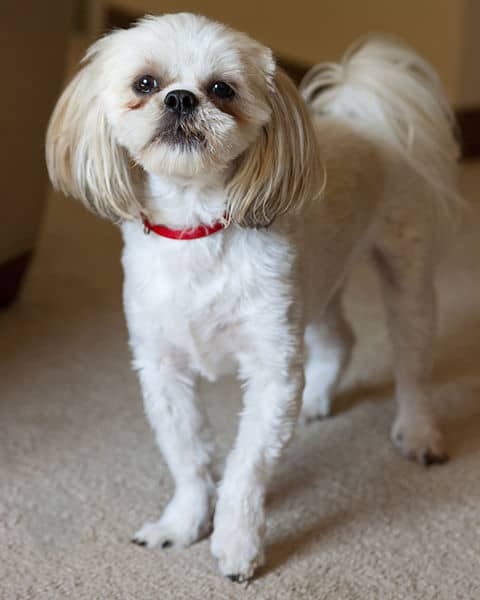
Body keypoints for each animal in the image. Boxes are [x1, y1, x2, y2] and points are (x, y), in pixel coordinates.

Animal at [46, 10, 462, 580]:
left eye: (222, 89)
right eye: (145, 84)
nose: (180, 98)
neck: (196, 228)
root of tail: (367, 120)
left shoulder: (272, 369)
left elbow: (246, 469)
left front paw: (236, 542)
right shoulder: (163, 370)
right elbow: (188, 456)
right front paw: (183, 523)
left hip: (406, 283)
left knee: (412, 369)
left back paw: (418, 433)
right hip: (315, 284)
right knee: (340, 339)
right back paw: (318, 400)